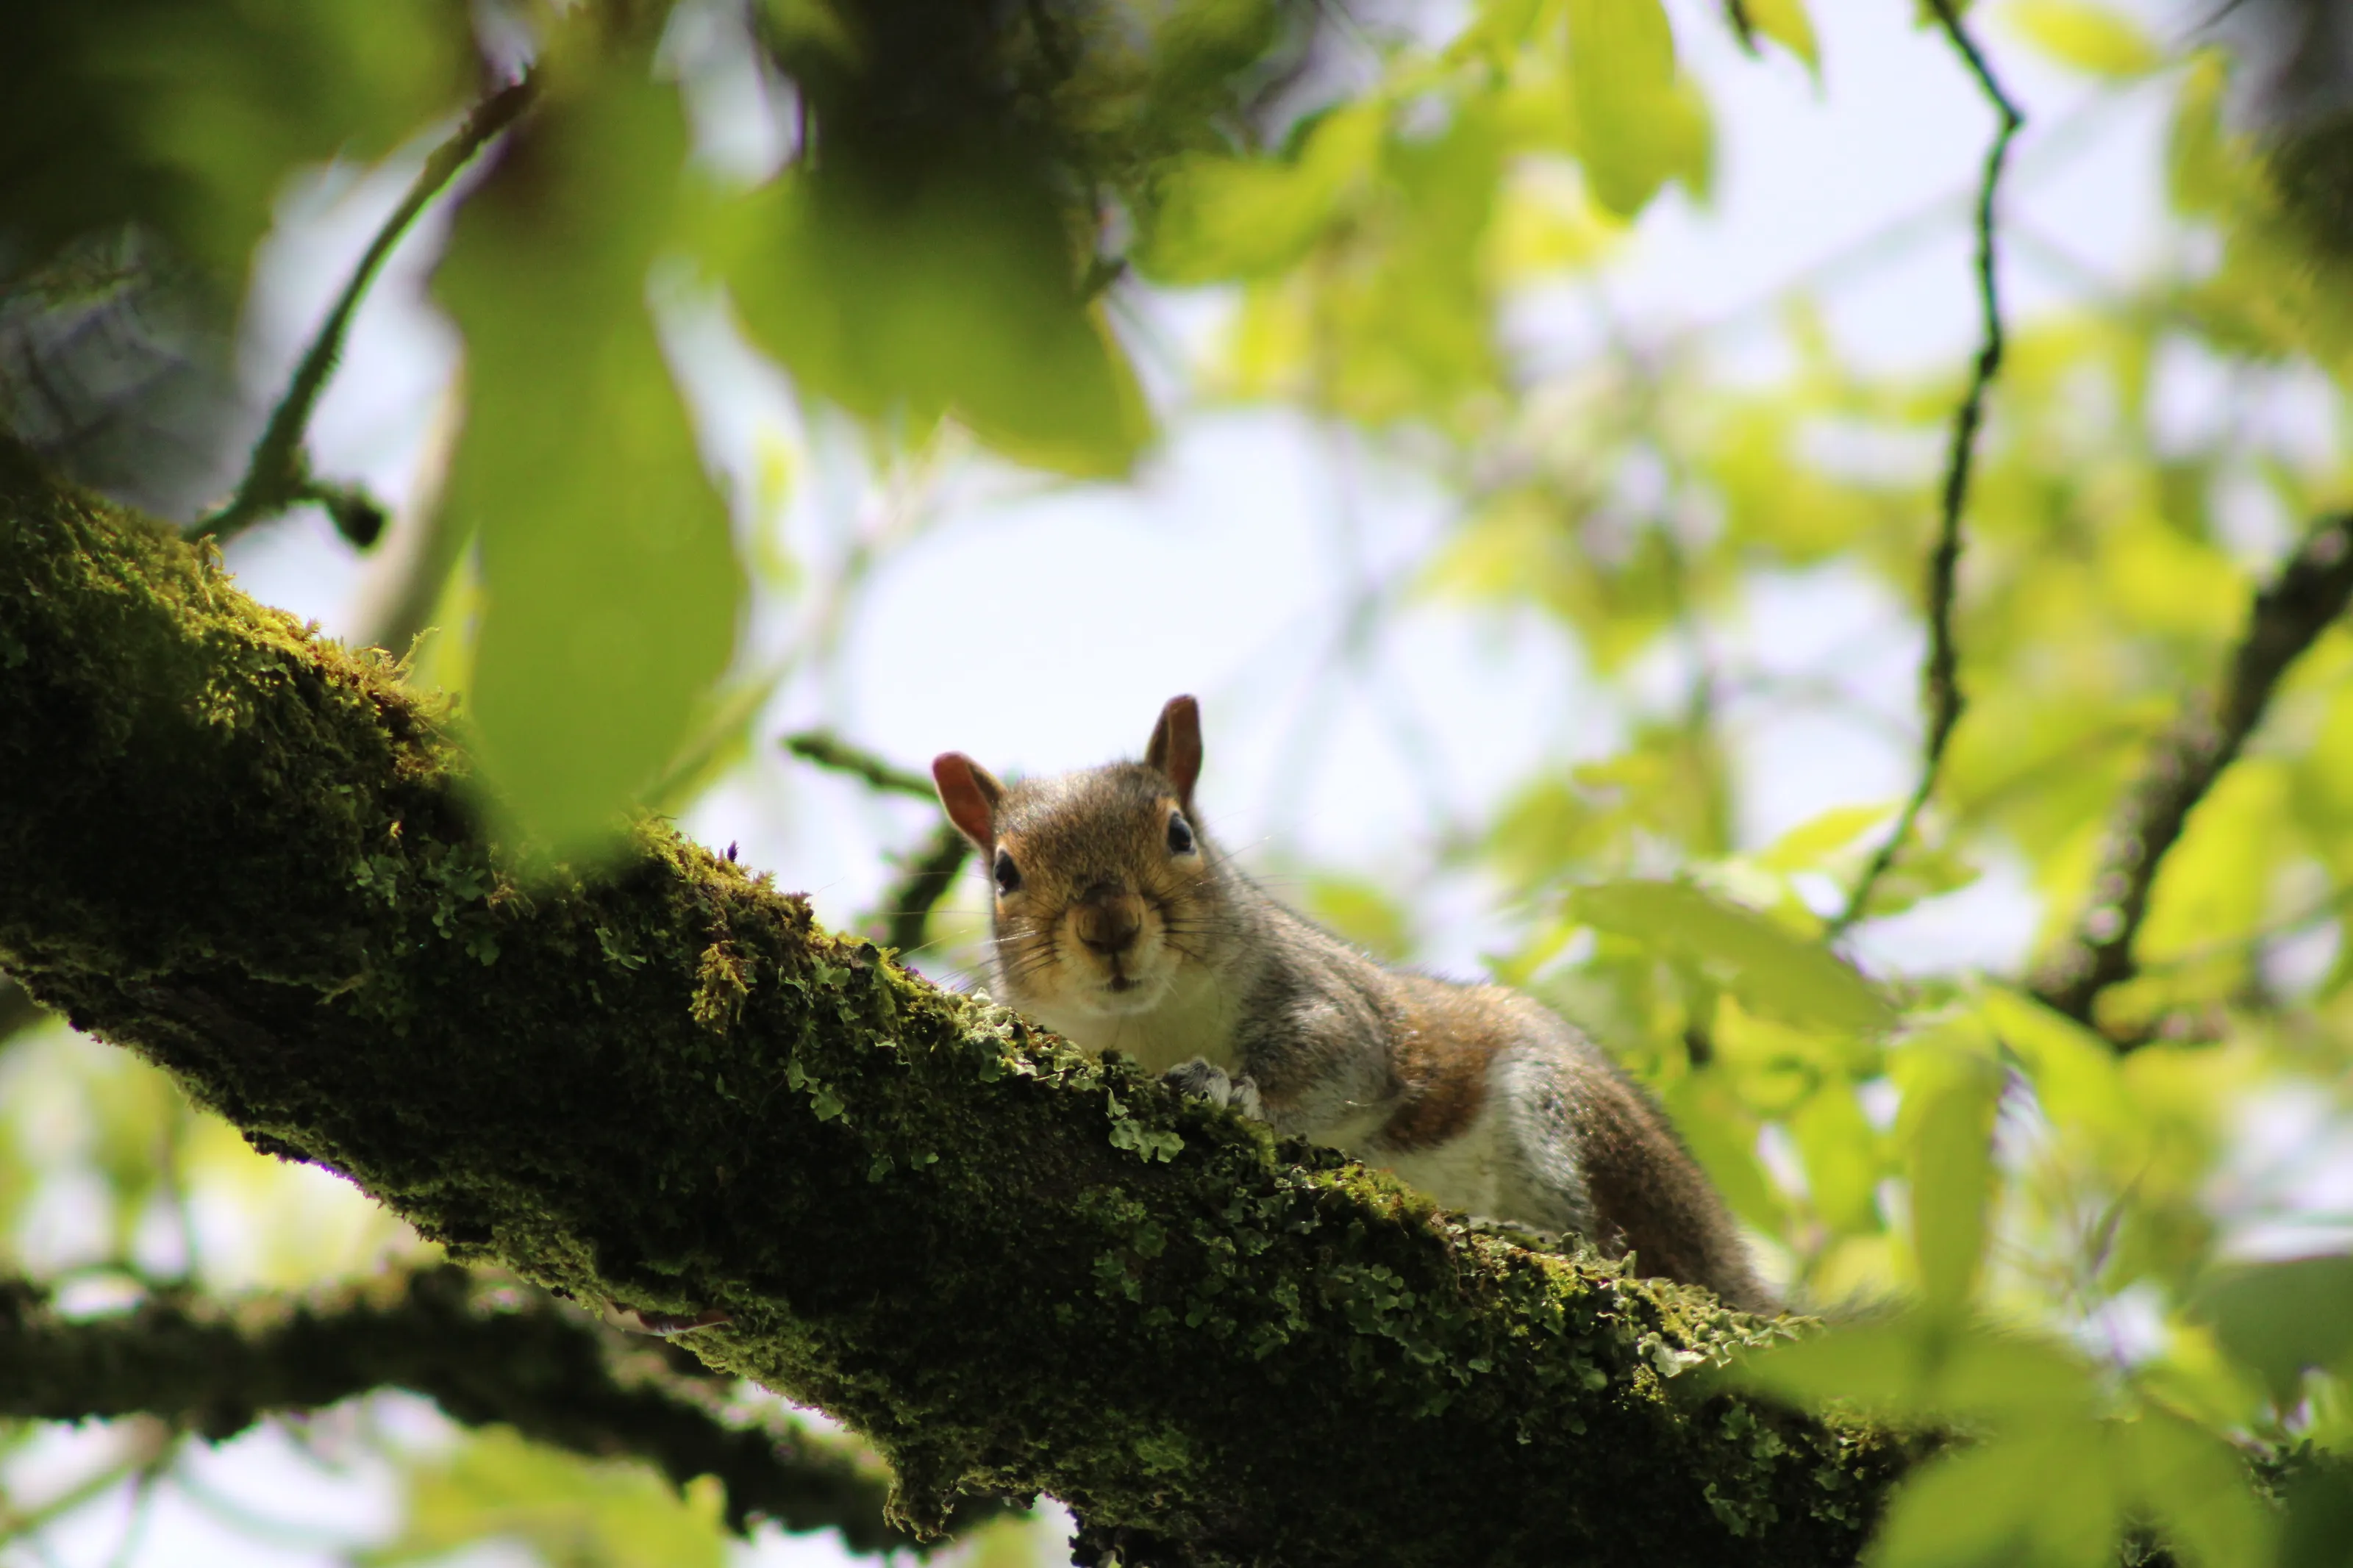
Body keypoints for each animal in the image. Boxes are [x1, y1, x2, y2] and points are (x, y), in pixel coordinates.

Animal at [931, 695, 1772, 1312]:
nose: (1108, 926)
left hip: (1569, 1119)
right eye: (1003, 873)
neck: (1145, 1023)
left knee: (1608, 1238)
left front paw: (1229, 1089)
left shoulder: (1328, 1001)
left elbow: (1338, 1063)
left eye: (1178, 832)